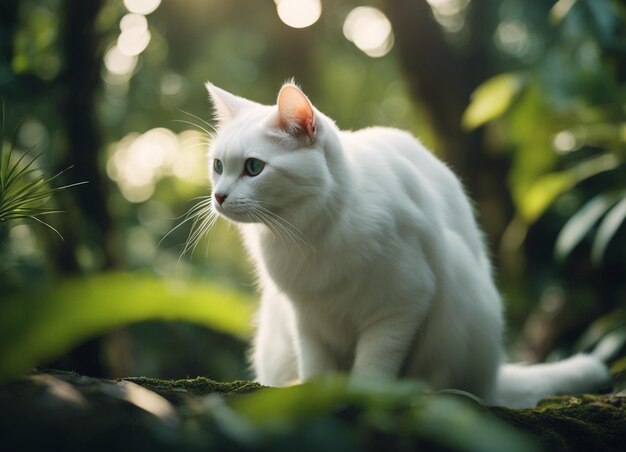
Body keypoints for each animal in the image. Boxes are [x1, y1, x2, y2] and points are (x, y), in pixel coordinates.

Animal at [205, 81, 608, 410]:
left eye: (254, 168)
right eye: (219, 166)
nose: (218, 196)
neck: (303, 235)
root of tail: (495, 374)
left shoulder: (401, 304)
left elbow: (374, 367)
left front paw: (365, 397)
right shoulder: (305, 318)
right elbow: (317, 368)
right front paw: (315, 396)